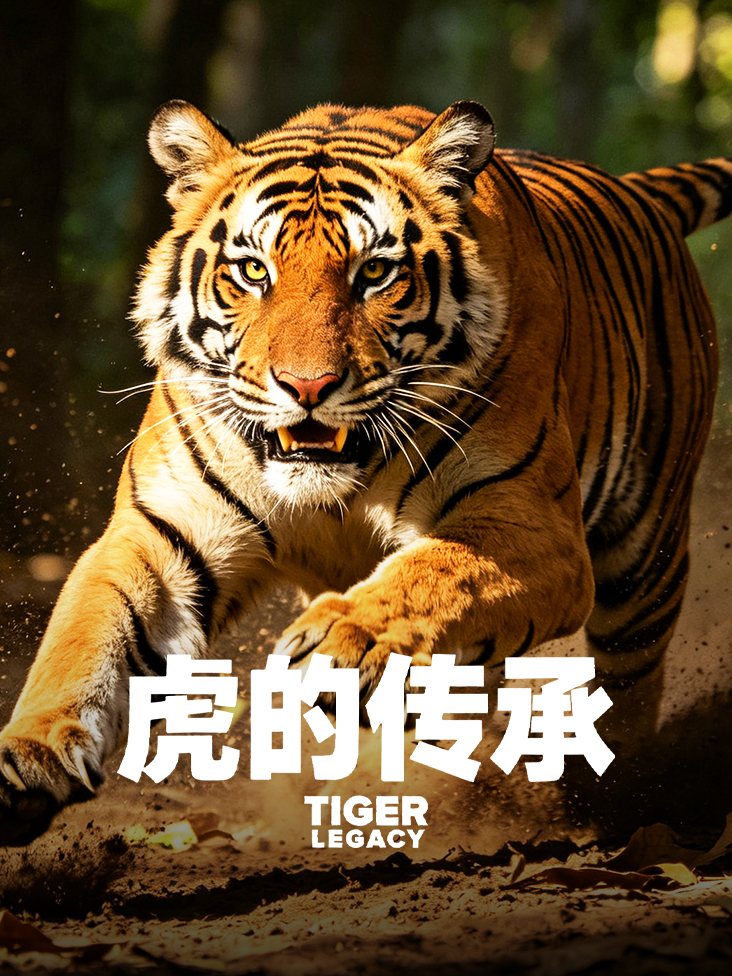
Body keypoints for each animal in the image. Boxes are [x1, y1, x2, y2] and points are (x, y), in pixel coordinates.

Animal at [0, 98, 730, 845]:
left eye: (375, 274)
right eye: (253, 271)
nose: (307, 385)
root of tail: (634, 189)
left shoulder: (531, 524)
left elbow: (433, 574)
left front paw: (345, 642)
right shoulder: (162, 531)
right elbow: (88, 629)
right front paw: (34, 754)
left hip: (646, 565)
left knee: (629, 689)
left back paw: (603, 805)